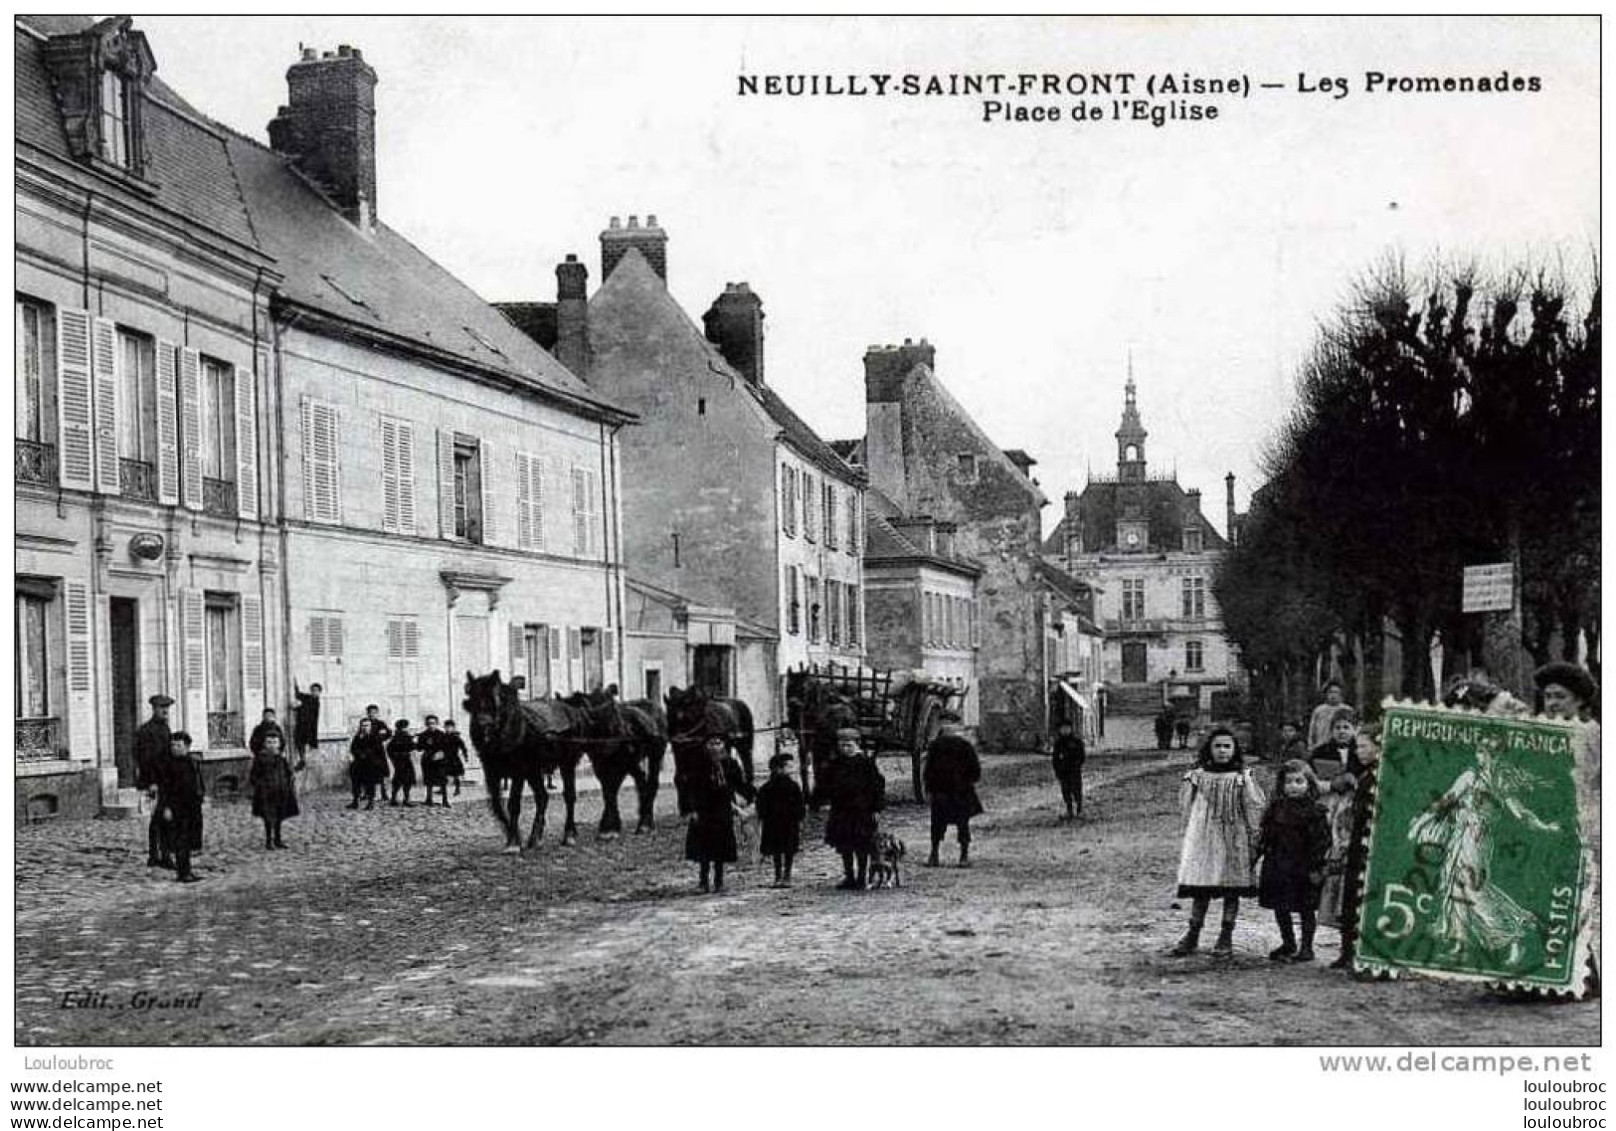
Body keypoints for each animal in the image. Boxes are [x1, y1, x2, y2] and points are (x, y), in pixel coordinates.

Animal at [462, 672, 588, 846]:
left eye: (496, 702)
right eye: (473, 701)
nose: (483, 727)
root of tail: (570, 708)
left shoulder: (518, 772)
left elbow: (513, 803)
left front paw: (513, 842)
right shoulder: (491, 773)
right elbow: (497, 807)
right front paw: (515, 836)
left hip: (567, 763)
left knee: (569, 796)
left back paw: (569, 833)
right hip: (534, 771)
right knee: (542, 797)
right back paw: (535, 837)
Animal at [562, 685, 669, 833]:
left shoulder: (620, 764)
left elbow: (611, 789)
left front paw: (610, 826)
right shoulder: (600, 765)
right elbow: (608, 790)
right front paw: (609, 825)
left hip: (654, 755)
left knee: (651, 783)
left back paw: (646, 823)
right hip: (632, 762)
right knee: (641, 780)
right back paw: (643, 818)